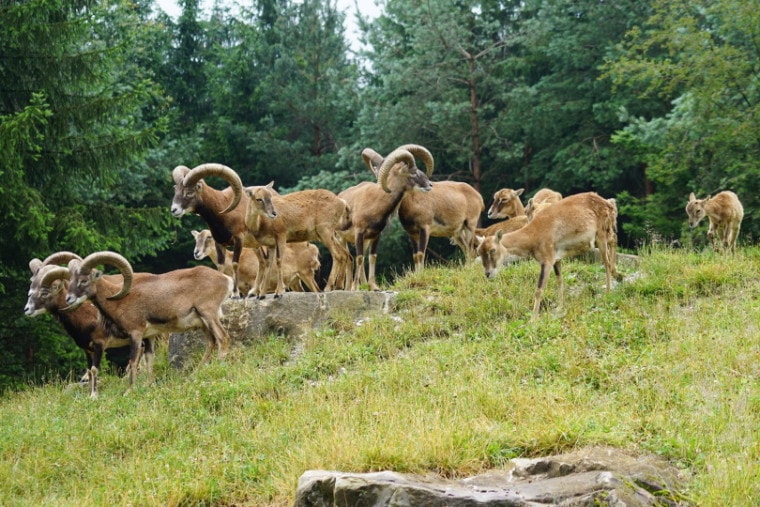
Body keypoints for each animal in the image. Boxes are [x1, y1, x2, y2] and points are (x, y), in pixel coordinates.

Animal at [478, 191, 620, 318]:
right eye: (479, 251)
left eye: (492, 250)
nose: (488, 274)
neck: (534, 234)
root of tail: (610, 203)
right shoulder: (557, 258)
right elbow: (560, 280)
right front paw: (559, 307)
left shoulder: (547, 259)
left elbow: (539, 289)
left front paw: (533, 318)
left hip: (601, 234)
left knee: (607, 261)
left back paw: (609, 291)